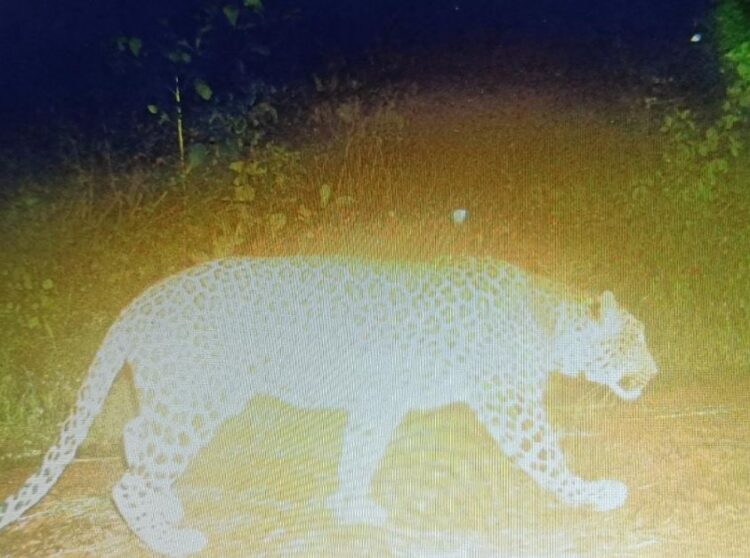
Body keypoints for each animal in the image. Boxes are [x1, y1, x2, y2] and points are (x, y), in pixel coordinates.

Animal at [0, 256, 658, 556]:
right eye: (634, 339)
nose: (655, 373)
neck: (549, 322)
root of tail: (139, 302)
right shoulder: (508, 400)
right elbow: (547, 456)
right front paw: (592, 494)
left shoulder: (381, 398)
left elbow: (360, 452)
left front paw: (351, 506)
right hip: (198, 398)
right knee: (131, 478)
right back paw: (168, 536)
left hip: (184, 394)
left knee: (137, 440)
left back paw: (169, 505)